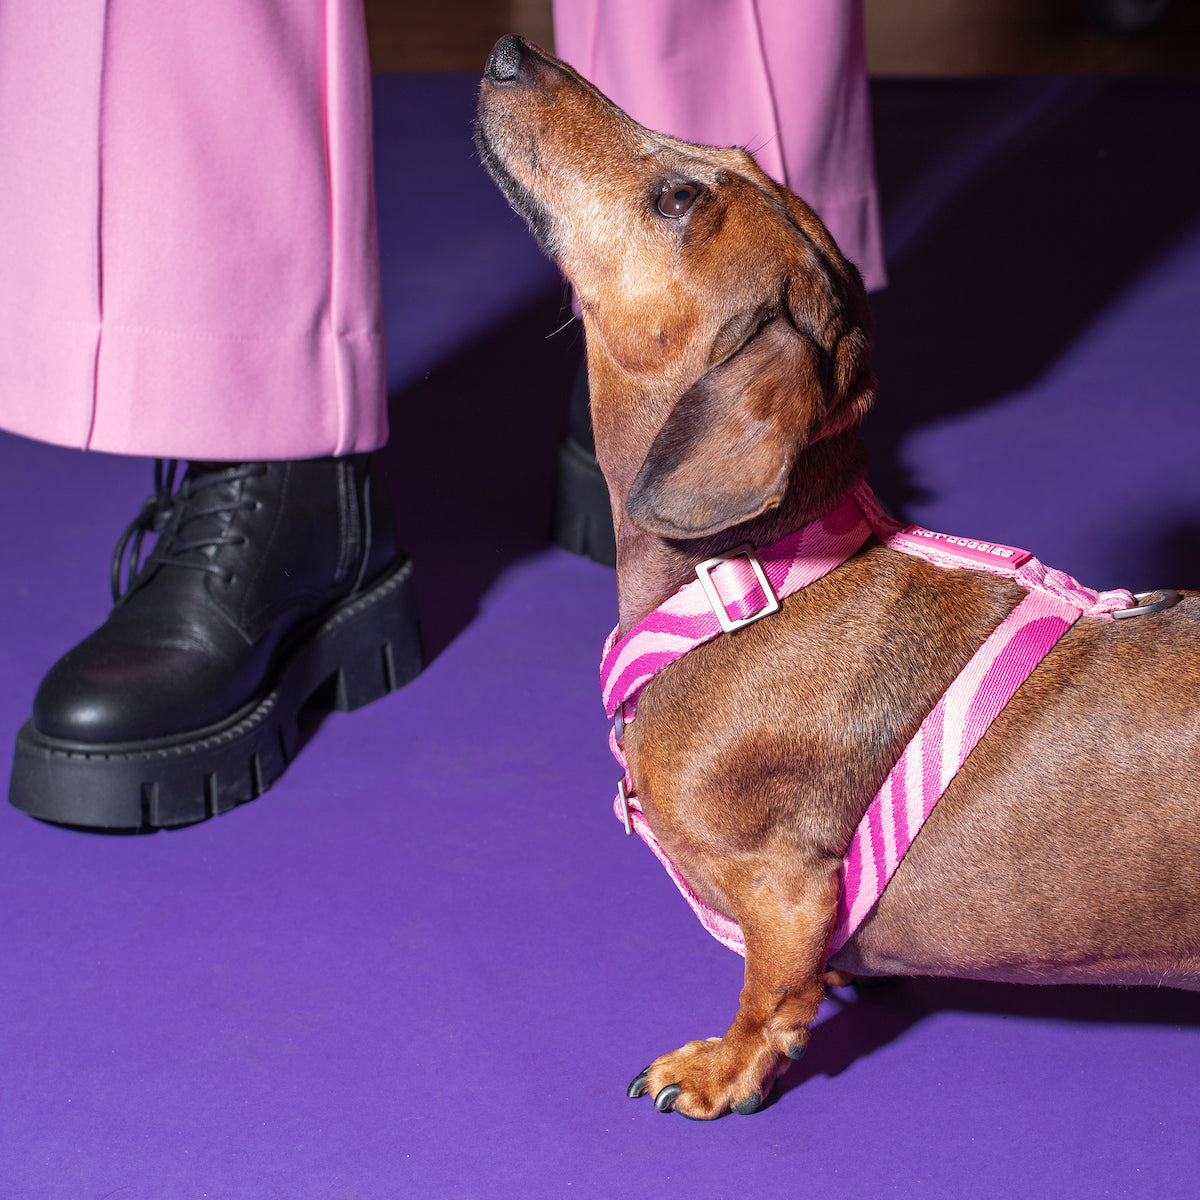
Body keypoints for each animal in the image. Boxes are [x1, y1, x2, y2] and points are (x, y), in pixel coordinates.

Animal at [475, 39, 1200, 1123]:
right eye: (726, 153)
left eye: (677, 198)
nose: (510, 51)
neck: (753, 580)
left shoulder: (788, 887)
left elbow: (772, 996)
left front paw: (722, 1069)